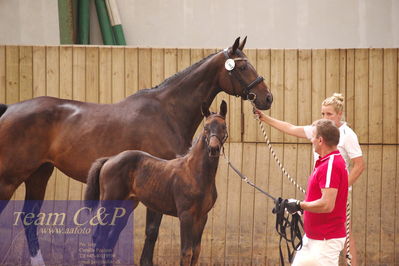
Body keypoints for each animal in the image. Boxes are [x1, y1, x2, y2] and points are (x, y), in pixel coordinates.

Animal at [84, 101, 228, 264]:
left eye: (223, 126)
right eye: (206, 128)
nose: (213, 149)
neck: (195, 172)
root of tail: (109, 159)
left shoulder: (202, 217)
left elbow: (195, 252)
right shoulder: (186, 216)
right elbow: (186, 252)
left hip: (124, 207)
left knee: (109, 240)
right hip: (109, 204)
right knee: (99, 238)